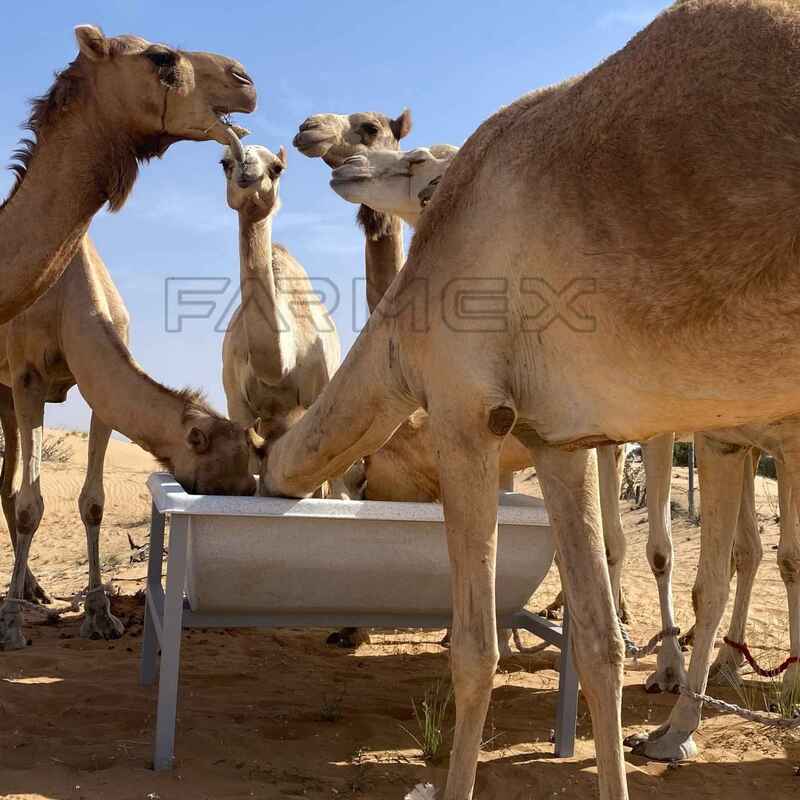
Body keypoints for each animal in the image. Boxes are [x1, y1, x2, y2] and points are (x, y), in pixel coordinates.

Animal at [0, 237, 263, 651]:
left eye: (249, 488)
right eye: (219, 489)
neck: (67, 301)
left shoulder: (97, 395)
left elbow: (93, 503)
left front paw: (100, 617)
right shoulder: (28, 377)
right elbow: (30, 505)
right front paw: (11, 625)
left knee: (5, 485)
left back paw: (34, 591)